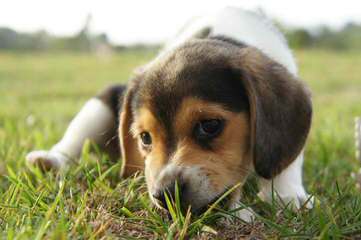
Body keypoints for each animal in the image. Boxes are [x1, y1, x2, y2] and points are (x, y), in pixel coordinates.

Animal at [26, 7, 312, 221]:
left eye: (210, 125)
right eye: (145, 138)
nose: (165, 195)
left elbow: (287, 162)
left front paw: (286, 195)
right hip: (99, 104)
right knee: (72, 142)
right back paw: (48, 160)